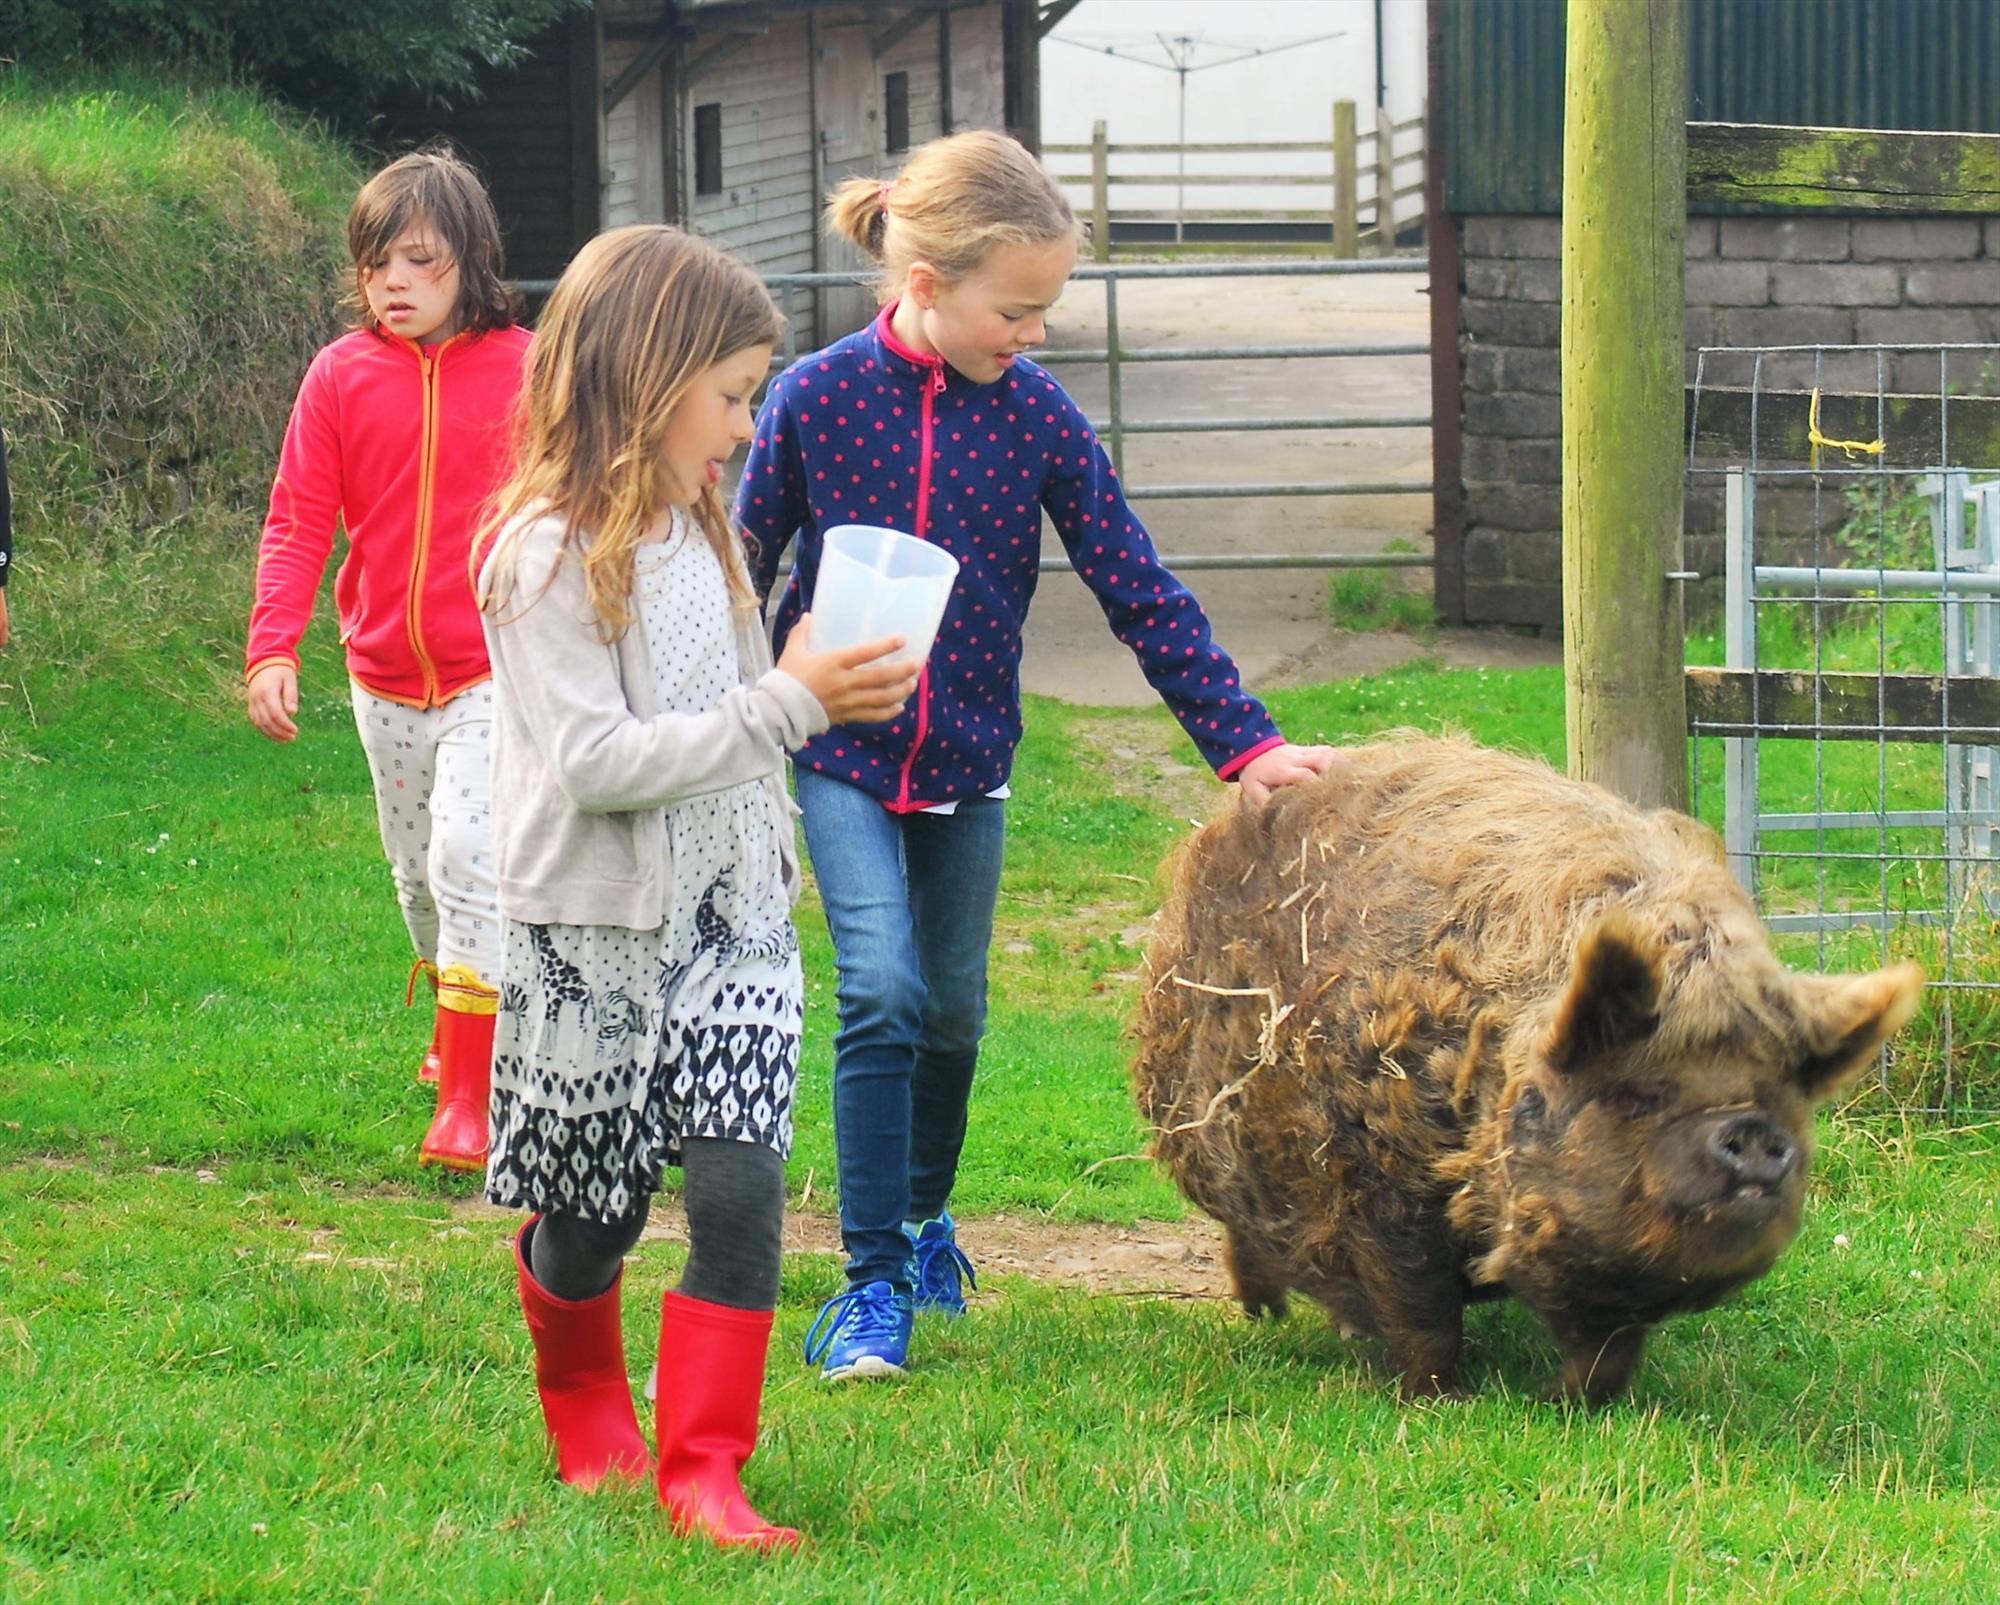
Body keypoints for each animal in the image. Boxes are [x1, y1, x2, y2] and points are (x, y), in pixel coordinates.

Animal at [1136, 732, 1912, 1392]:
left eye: (1781, 1094)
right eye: (1637, 1094)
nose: (1750, 1129)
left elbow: (1606, 1351)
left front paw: (1578, 1405)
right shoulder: (1377, 1181)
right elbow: (1420, 1311)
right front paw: (1440, 1398)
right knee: (1245, 1233)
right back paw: (1266, 1316)